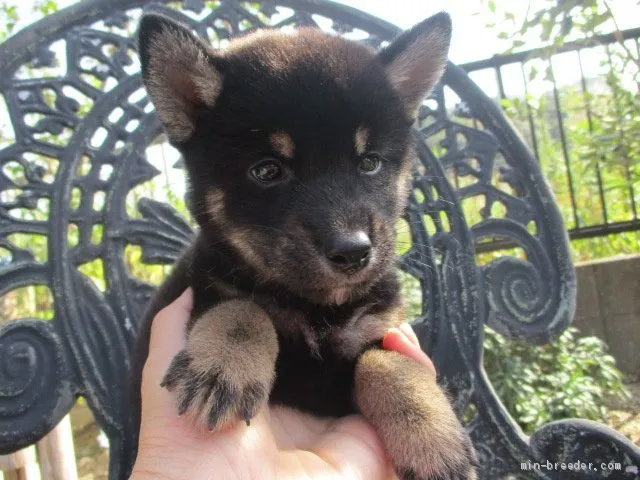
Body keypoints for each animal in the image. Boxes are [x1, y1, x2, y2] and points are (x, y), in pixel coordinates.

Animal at [132, 12, 478, 480]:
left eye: (370, 162)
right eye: (267, 170)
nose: (353, 252)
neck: (316, 308)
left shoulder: (377, 331)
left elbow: (387, 364)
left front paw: (431, 438)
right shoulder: (205, 283)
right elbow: (243, 308)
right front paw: (222, 368)